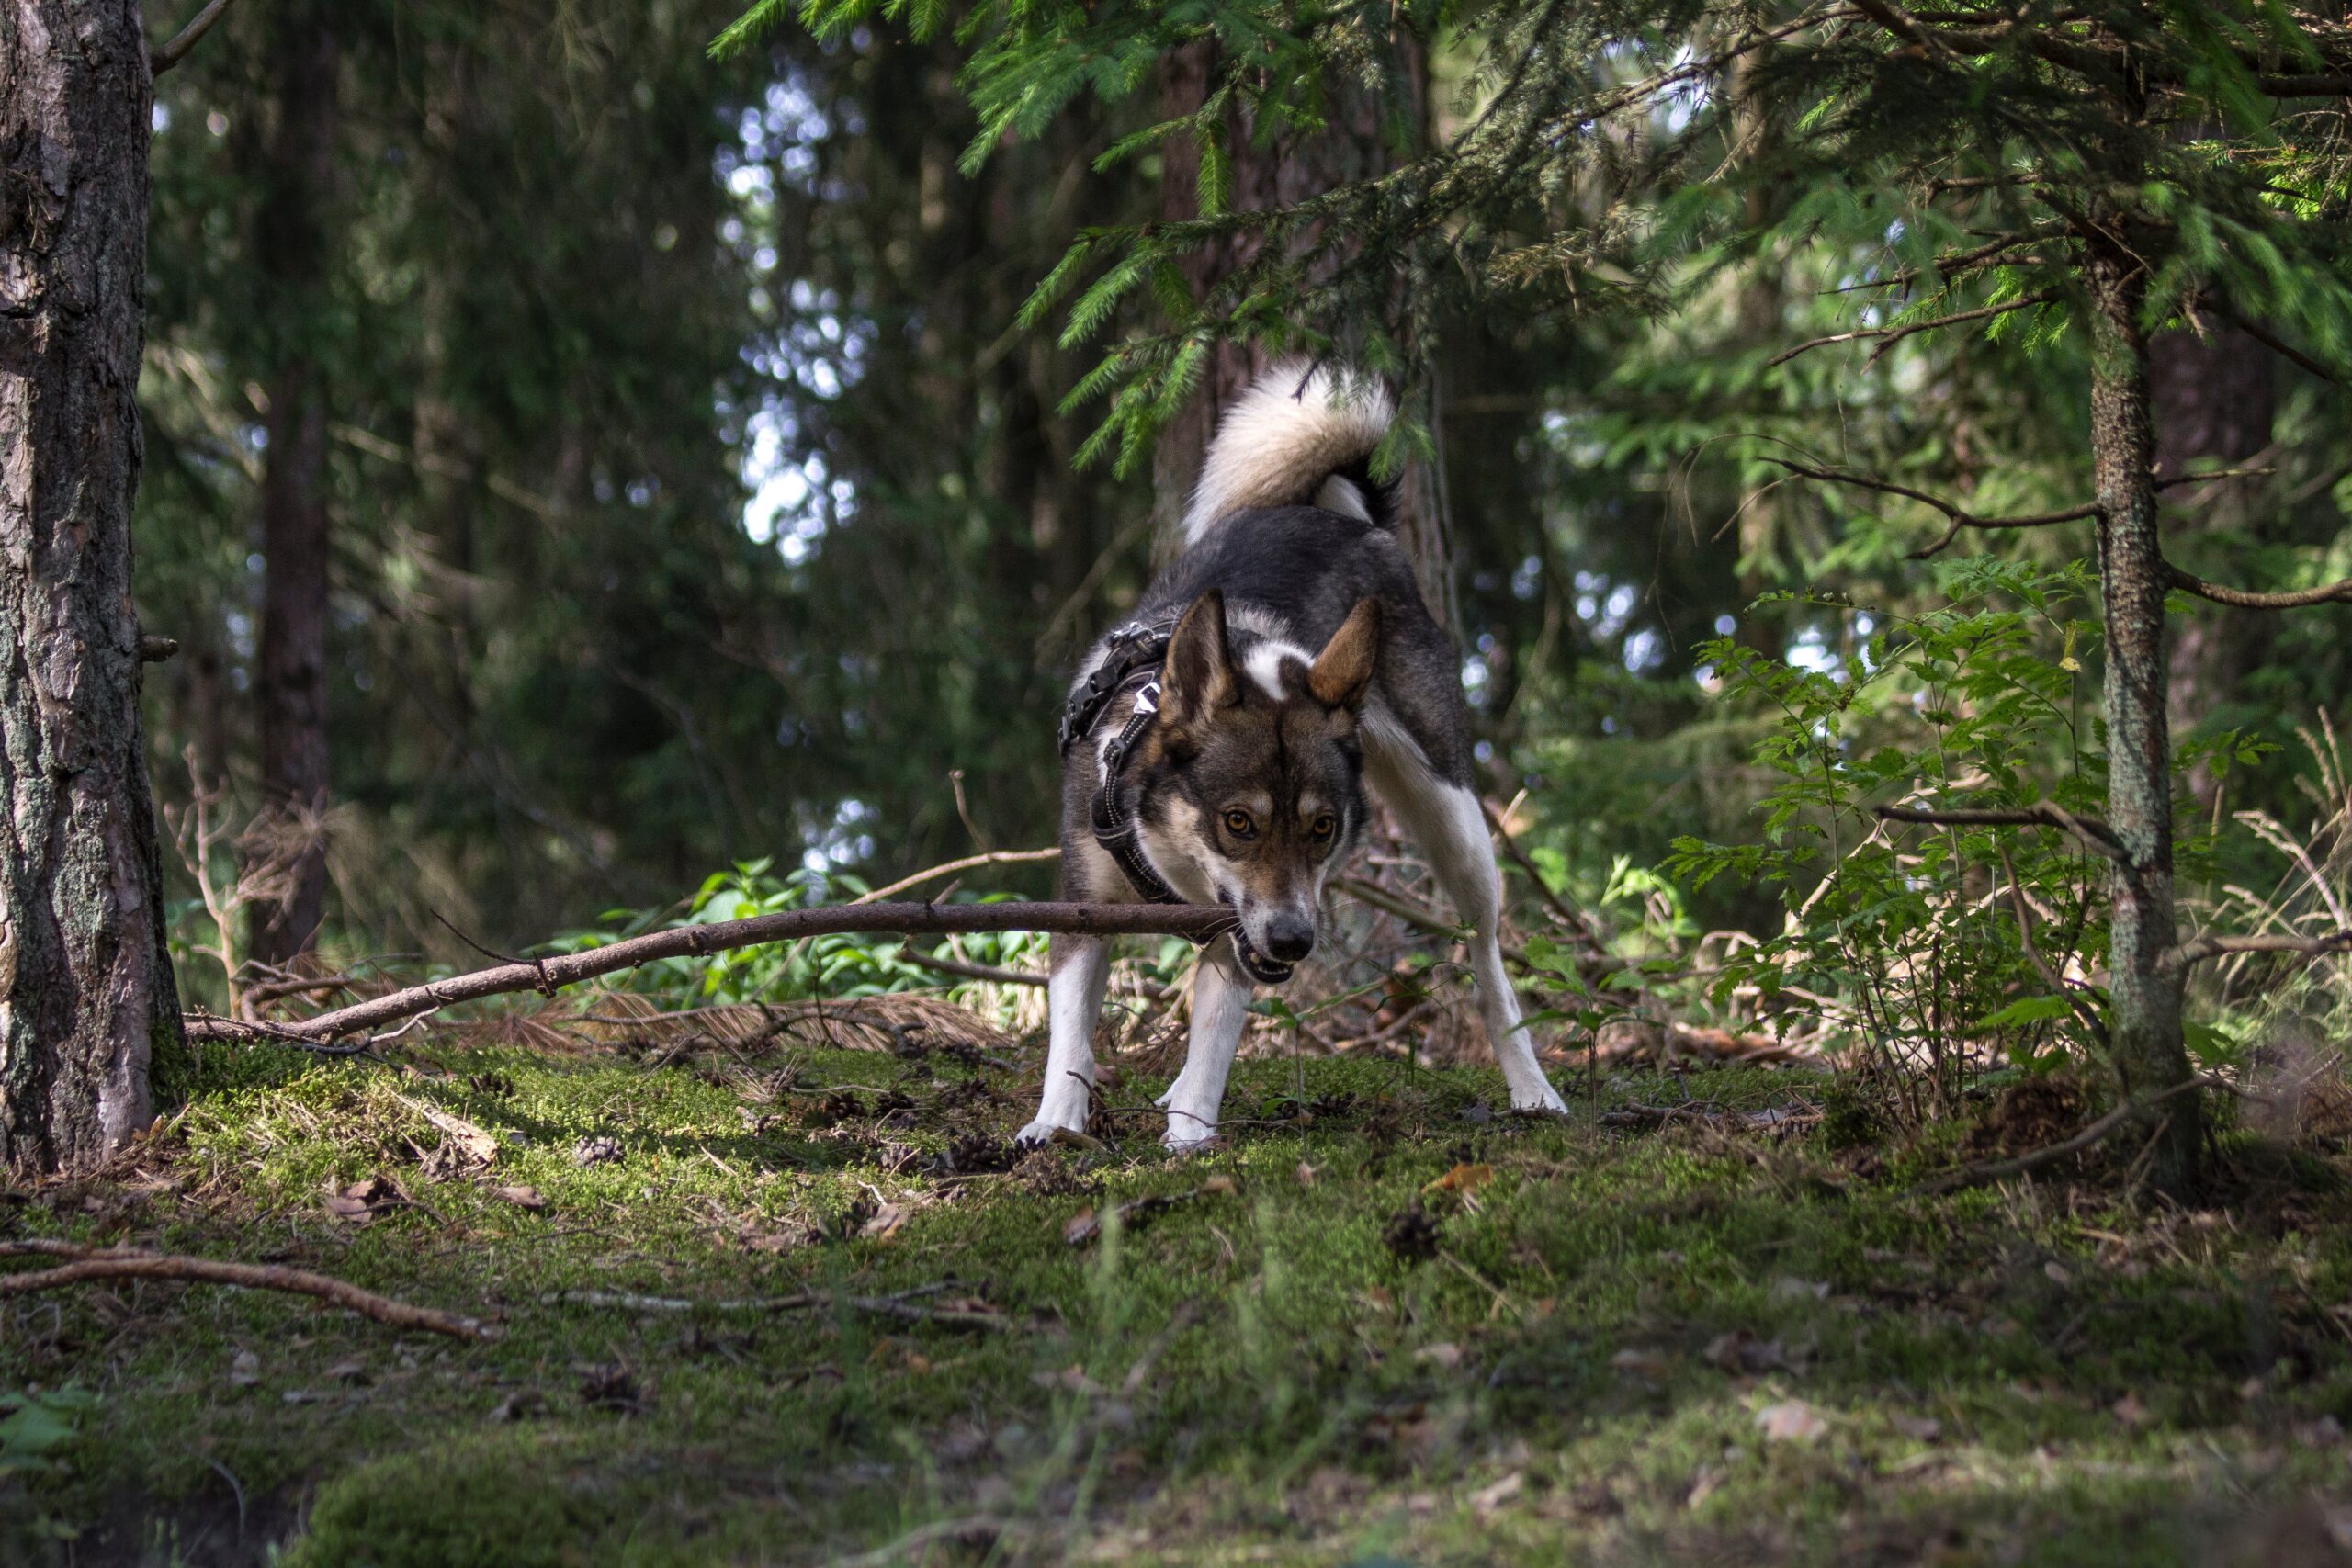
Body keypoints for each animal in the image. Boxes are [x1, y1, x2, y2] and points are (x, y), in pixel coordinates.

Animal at [1021, 364, 1571, 1152]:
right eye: (1238, 821)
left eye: (1321, 827)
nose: (1294, 941)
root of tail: (1347, 520)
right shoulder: (1084, 908)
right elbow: (1071, 1033)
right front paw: (1055, 1123)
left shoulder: (1242, 930)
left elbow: (1213, 1035)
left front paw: (1190, 1133)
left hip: (1452, 815)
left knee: (1489, 960)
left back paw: (1532, 1086)